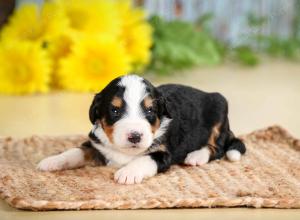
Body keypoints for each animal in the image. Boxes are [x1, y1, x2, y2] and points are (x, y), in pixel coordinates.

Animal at [37, 75, 246, 185]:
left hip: (220, 108)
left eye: (150, 110)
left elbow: (146, 159)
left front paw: (128, 172)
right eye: (115, 110)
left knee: (218, 147)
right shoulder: (97, 145)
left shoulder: (163, 154)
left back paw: (196, 156)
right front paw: (52, 161)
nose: (135, 136)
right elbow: (76, 151)